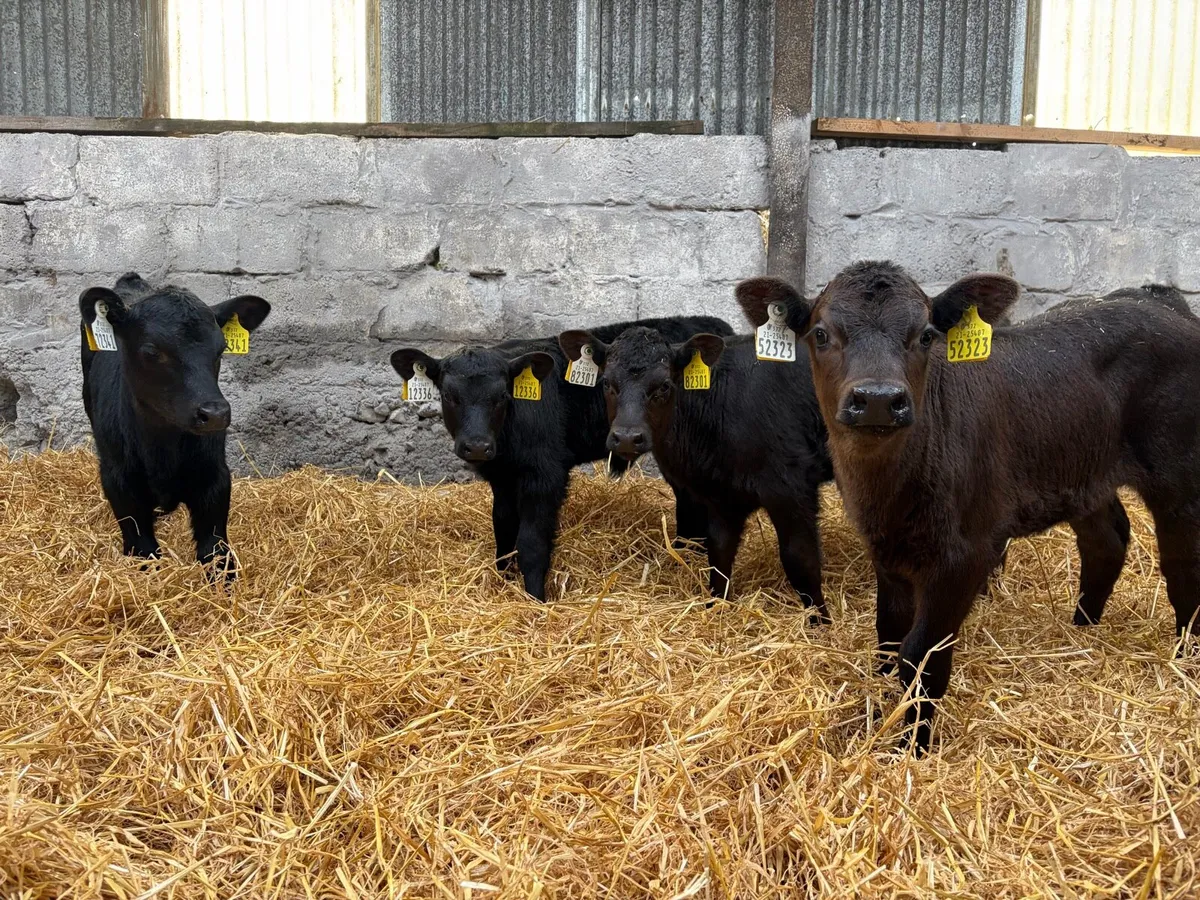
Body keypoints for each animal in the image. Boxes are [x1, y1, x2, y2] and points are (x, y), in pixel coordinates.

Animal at [80, 273, 271, 575]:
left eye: (222, 349)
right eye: (152, 351)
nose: (215, 414)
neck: (162, 449)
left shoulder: (215, 478)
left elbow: (216, 553)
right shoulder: (118, 480)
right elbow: (143, 551)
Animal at [390, 316, 733, 602]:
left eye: (502, 395)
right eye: (450, 396)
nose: (476, 446)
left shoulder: (546, 476)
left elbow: (532, 543)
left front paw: (536, 600)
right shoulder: (502, 477)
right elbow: (503, 528)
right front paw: (504, 580)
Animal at [557, 321, 833, 619]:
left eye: (664, 386)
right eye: (607, 382)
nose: (627, 437)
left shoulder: (791, 487)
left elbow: (801, 560)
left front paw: (820, 622)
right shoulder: (720, 496)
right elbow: (719, 556)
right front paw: (716, 609)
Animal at [736, 262, 1200, 753]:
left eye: (926, 335)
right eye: (821, 334)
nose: (878, 399)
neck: (891, 493)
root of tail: (1159, 301)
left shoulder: (966, 556)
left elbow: (921, 657)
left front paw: (912, 748)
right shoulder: (887, 552)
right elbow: (888, 639)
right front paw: (881, 711)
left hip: (1180, 473)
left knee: (1182, 564)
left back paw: (1184, 656)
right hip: (1082, 472)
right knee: (1106, 540)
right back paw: (1082, 630)